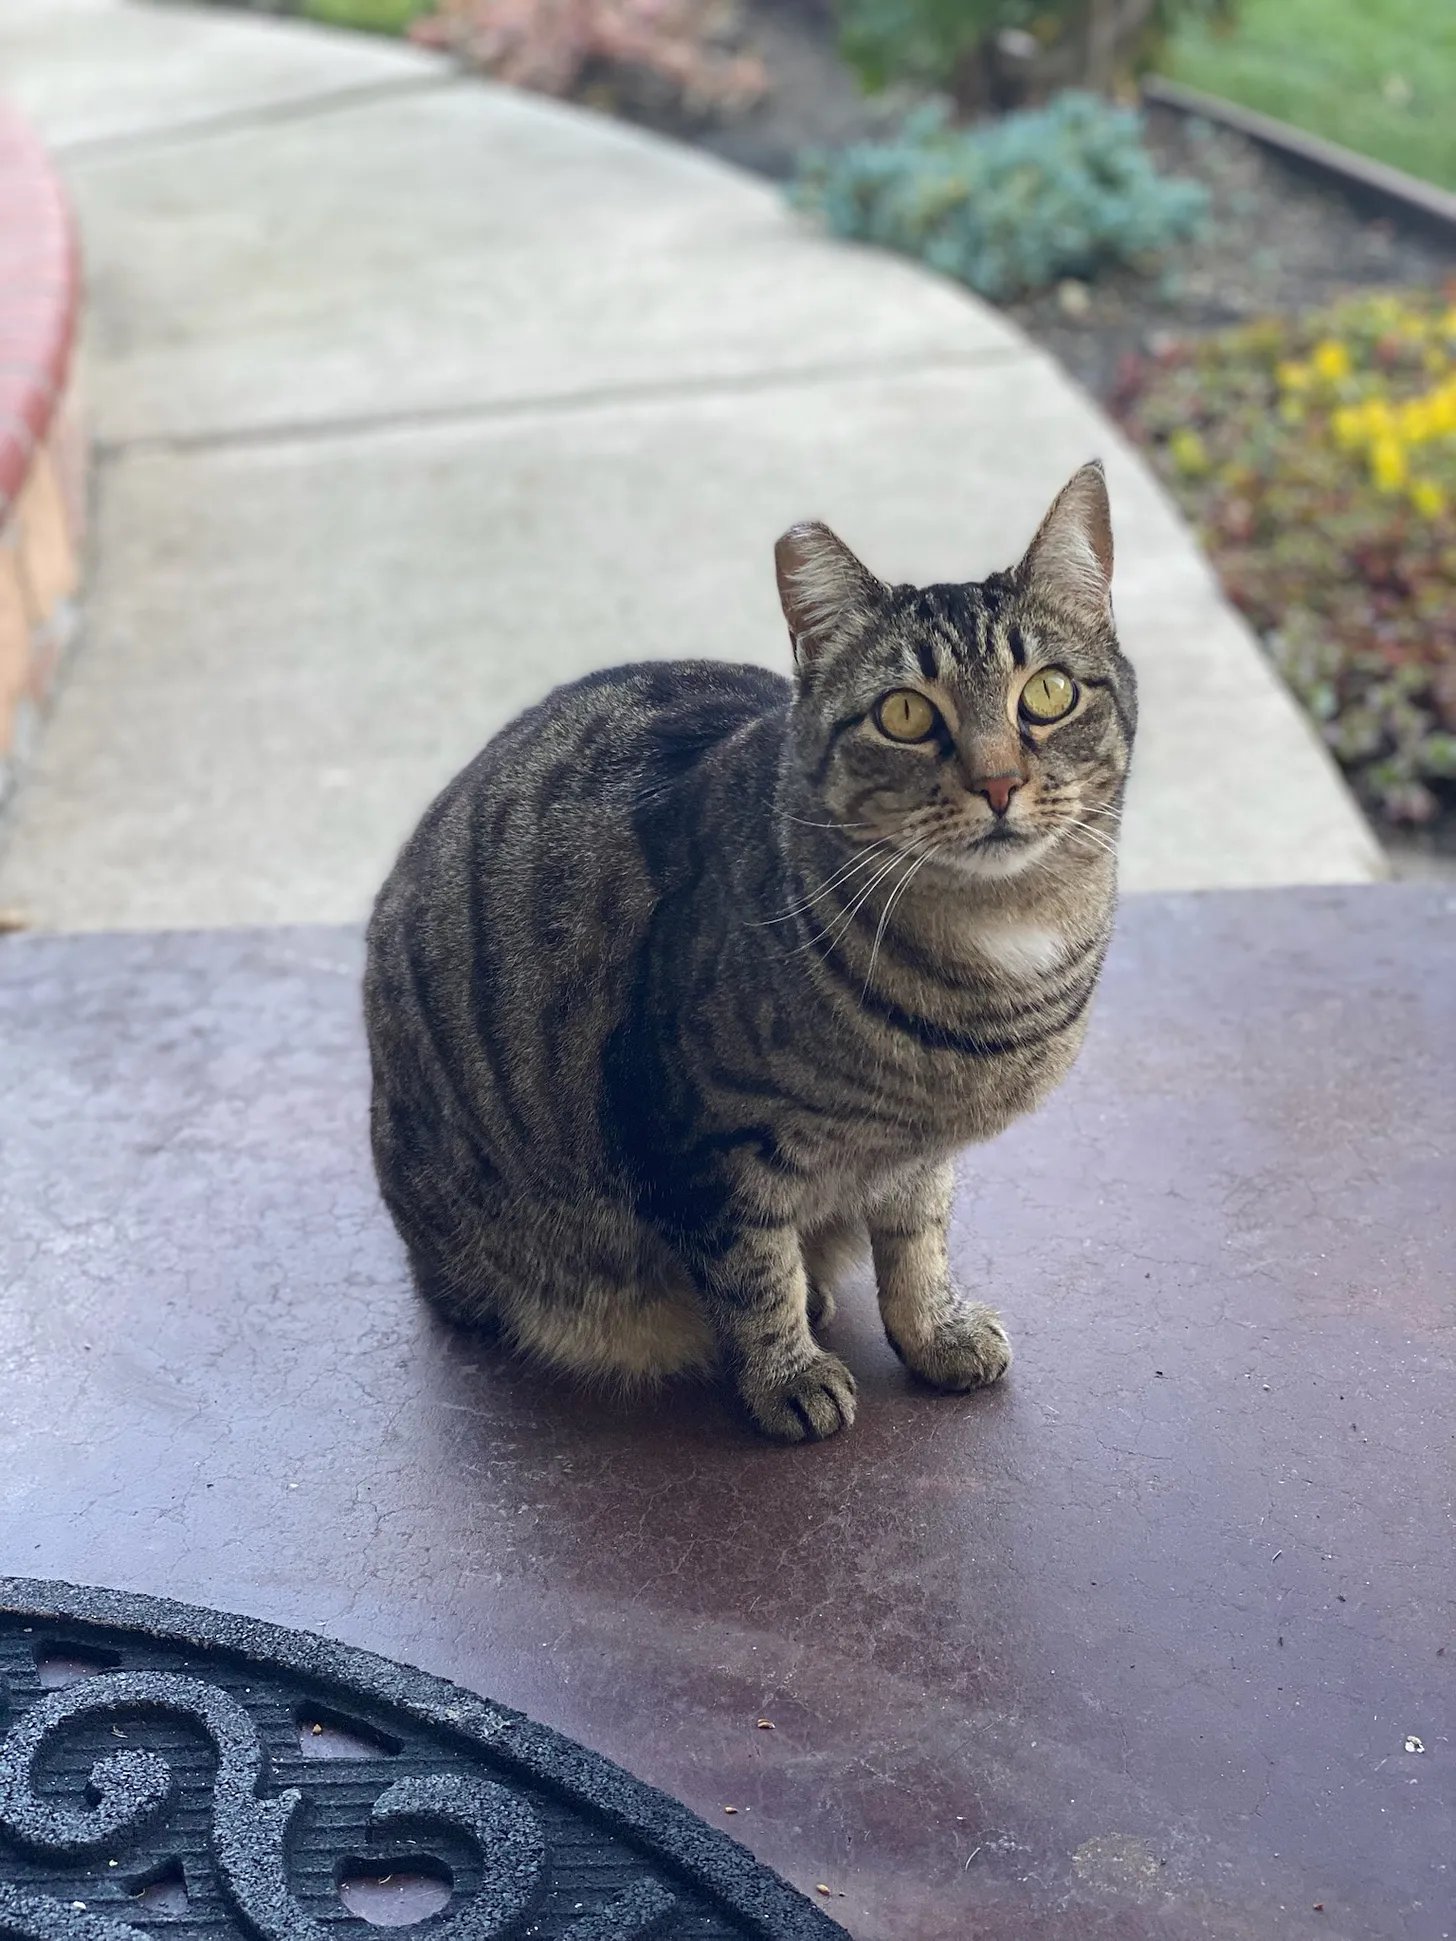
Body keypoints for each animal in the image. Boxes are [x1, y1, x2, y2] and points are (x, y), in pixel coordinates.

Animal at [364, 461, 1141, 1444]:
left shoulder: (918, 1155)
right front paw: (788, 1374)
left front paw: (935, 1332)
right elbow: (752, 1268)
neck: (999, 954)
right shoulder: (707, 1137)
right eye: (903, 712)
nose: (999, 781)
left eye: (1046, 694)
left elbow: (917, 1242)